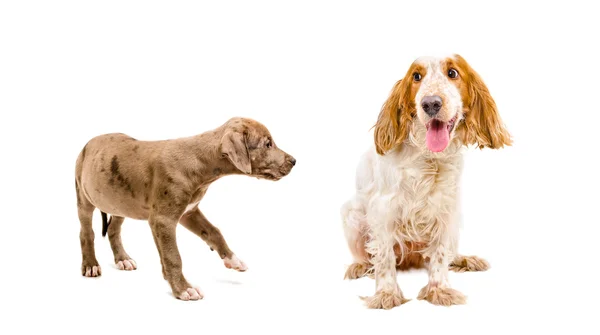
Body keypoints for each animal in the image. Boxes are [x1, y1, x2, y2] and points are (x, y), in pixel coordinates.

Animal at [75, 118, 296, 302]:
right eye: (268, 144)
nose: (294, 161)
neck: (202, 163)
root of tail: (89, 142)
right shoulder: (164, 220)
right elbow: (173, 256)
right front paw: (183, 289)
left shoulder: (189, 213)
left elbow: (214, 232)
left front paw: (233, 260)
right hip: (84, 198)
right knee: (86, 232)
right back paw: (91, 264)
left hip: (118, 202)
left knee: (114, 229)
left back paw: (123, 259)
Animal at [342, 54, 510, 310]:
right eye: (416, 76)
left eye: (453, 73)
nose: (430, 103)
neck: (429, 157)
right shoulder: (383, 209)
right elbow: (384, 257)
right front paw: (386, 293)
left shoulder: (446, 208)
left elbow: (440, 254)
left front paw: (439, 290)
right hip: (350, 214)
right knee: (366, 255)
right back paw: (360, 266)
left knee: (449, 252)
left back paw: (464, 259)